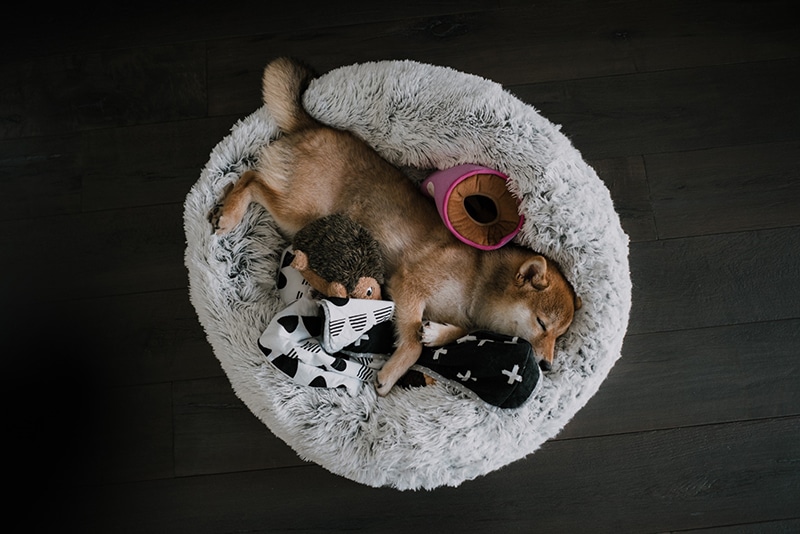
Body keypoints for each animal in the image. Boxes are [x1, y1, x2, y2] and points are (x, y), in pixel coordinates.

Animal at [209, 57, 580, 398]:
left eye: (558, 335)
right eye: (542, 324)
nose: (547, 364)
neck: (477, 279)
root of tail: (312, 125)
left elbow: (455, 331)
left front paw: (437, 332)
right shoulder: (409, 287)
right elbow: (413, 343)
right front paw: (393, 372)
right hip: (298, 212)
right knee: (251, 179)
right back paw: (229, 214)